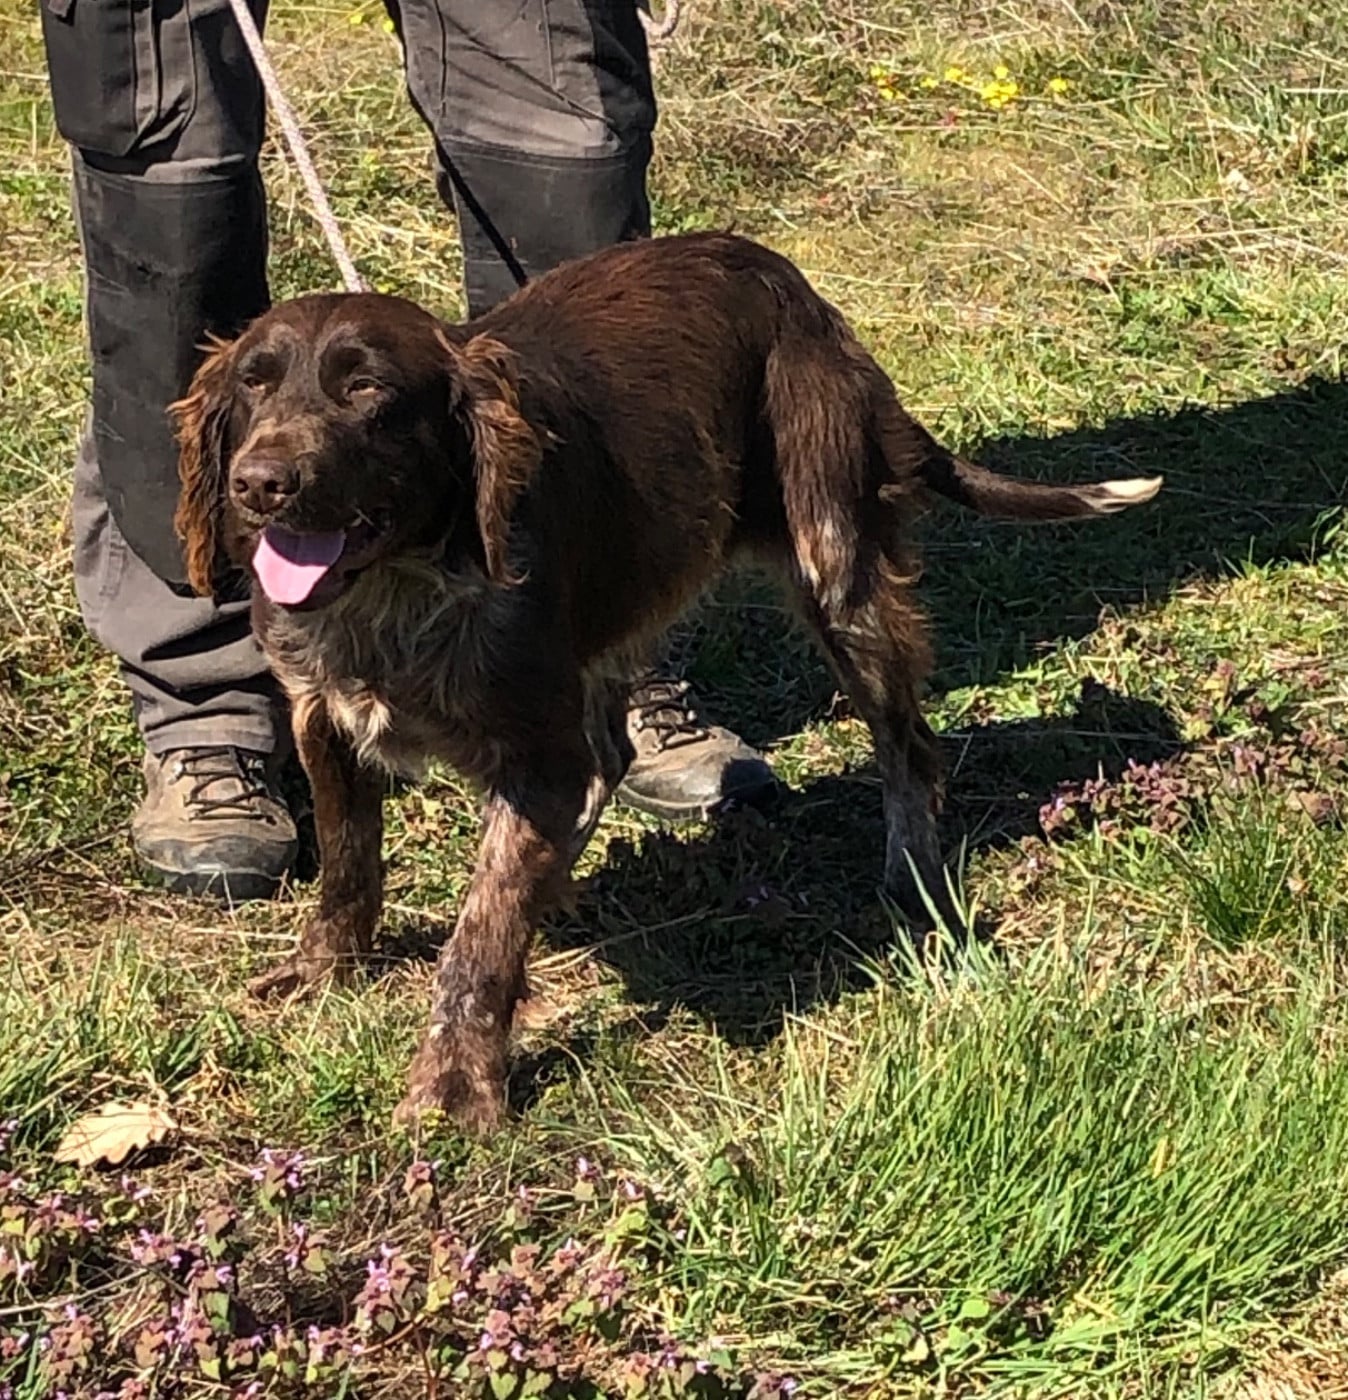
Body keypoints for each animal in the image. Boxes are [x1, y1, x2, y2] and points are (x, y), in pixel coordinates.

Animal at [171, 231, 1160, 1131]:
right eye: (254, 383)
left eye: (366, 388)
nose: (260, 483)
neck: (396, 591)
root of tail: (794, 288)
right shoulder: (323, 717)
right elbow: (348, 862)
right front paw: (326, 969)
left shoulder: (536, 751)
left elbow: (481, 932)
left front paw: (457, 1082)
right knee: (612, 756)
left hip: (836, 566)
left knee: (909, 747)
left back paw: (912, 887)